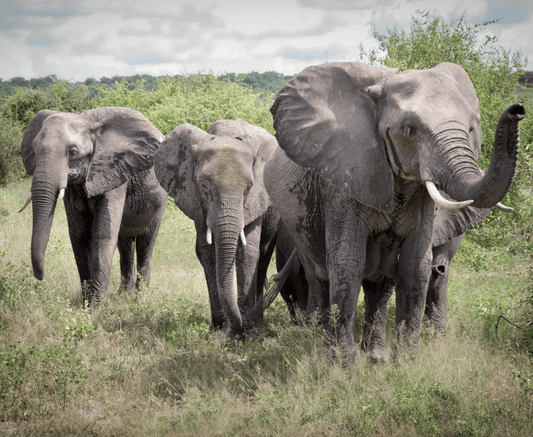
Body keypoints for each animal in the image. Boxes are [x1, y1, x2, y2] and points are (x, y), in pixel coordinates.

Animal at [19, 107, 167, 304]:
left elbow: (102, 234)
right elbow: (79, 235)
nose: (40, 276)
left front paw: (97, 309)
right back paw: (123, 295)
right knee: (124, 243)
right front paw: (86, 305)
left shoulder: (114, 171)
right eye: (34, 151)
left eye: (73, 152)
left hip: (160, 199)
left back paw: (140, 299)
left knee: (146, 242)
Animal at [153, 118, 278, 340]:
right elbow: (208, 253)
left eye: (248, 188)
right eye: (204, 187)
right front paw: (219, 331)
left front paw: (247, 335)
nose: (236, 330)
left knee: (262, 257)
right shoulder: (195, 200)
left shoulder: (256, 201)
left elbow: (248, 252)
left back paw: (258, 323)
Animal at [266, 60, 524, 354]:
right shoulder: (345, 179)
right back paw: (314, 342)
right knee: (319, 276)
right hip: (295, 224)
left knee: (379, 285)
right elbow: (347, 262)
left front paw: (406, 359)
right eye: (410, 130)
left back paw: (375, 354)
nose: (517, 109)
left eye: (471, 129)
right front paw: (342, 361)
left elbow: (415, 267)